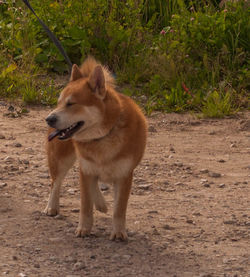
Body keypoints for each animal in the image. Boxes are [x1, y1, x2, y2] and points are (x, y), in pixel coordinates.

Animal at [44, 56, 147, 239]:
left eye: (71, 103)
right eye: (59, 102)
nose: (49, 119)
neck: (102, 137)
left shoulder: (124, 175)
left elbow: (119, 210)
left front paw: (118, 232)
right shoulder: (86, 169)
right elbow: (85, 205)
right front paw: (84, 228)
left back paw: (100, 203)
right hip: (62, 159)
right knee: (55, 182)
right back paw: (52, 206)